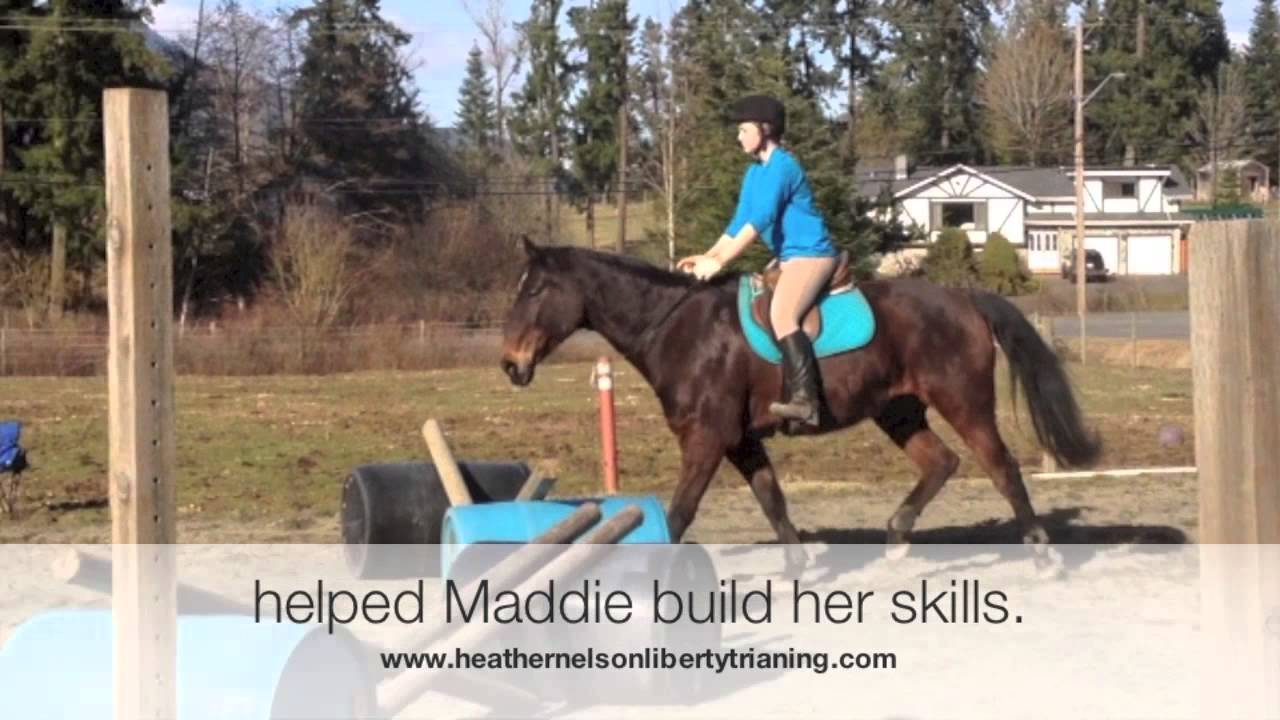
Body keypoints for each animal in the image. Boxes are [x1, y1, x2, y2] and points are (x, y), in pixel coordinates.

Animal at [499, 238, 1101, 571]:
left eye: (535, 291)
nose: (510, 364)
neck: (676, 327)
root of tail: (962, 297)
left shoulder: (706, 438)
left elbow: (680, 512)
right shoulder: (738, 439)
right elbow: (772, 500)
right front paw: (797, 565)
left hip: (964, 402)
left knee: (1000, 466)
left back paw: (1041, 553)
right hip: (897, 410)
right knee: (941, 462)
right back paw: (897, 535)